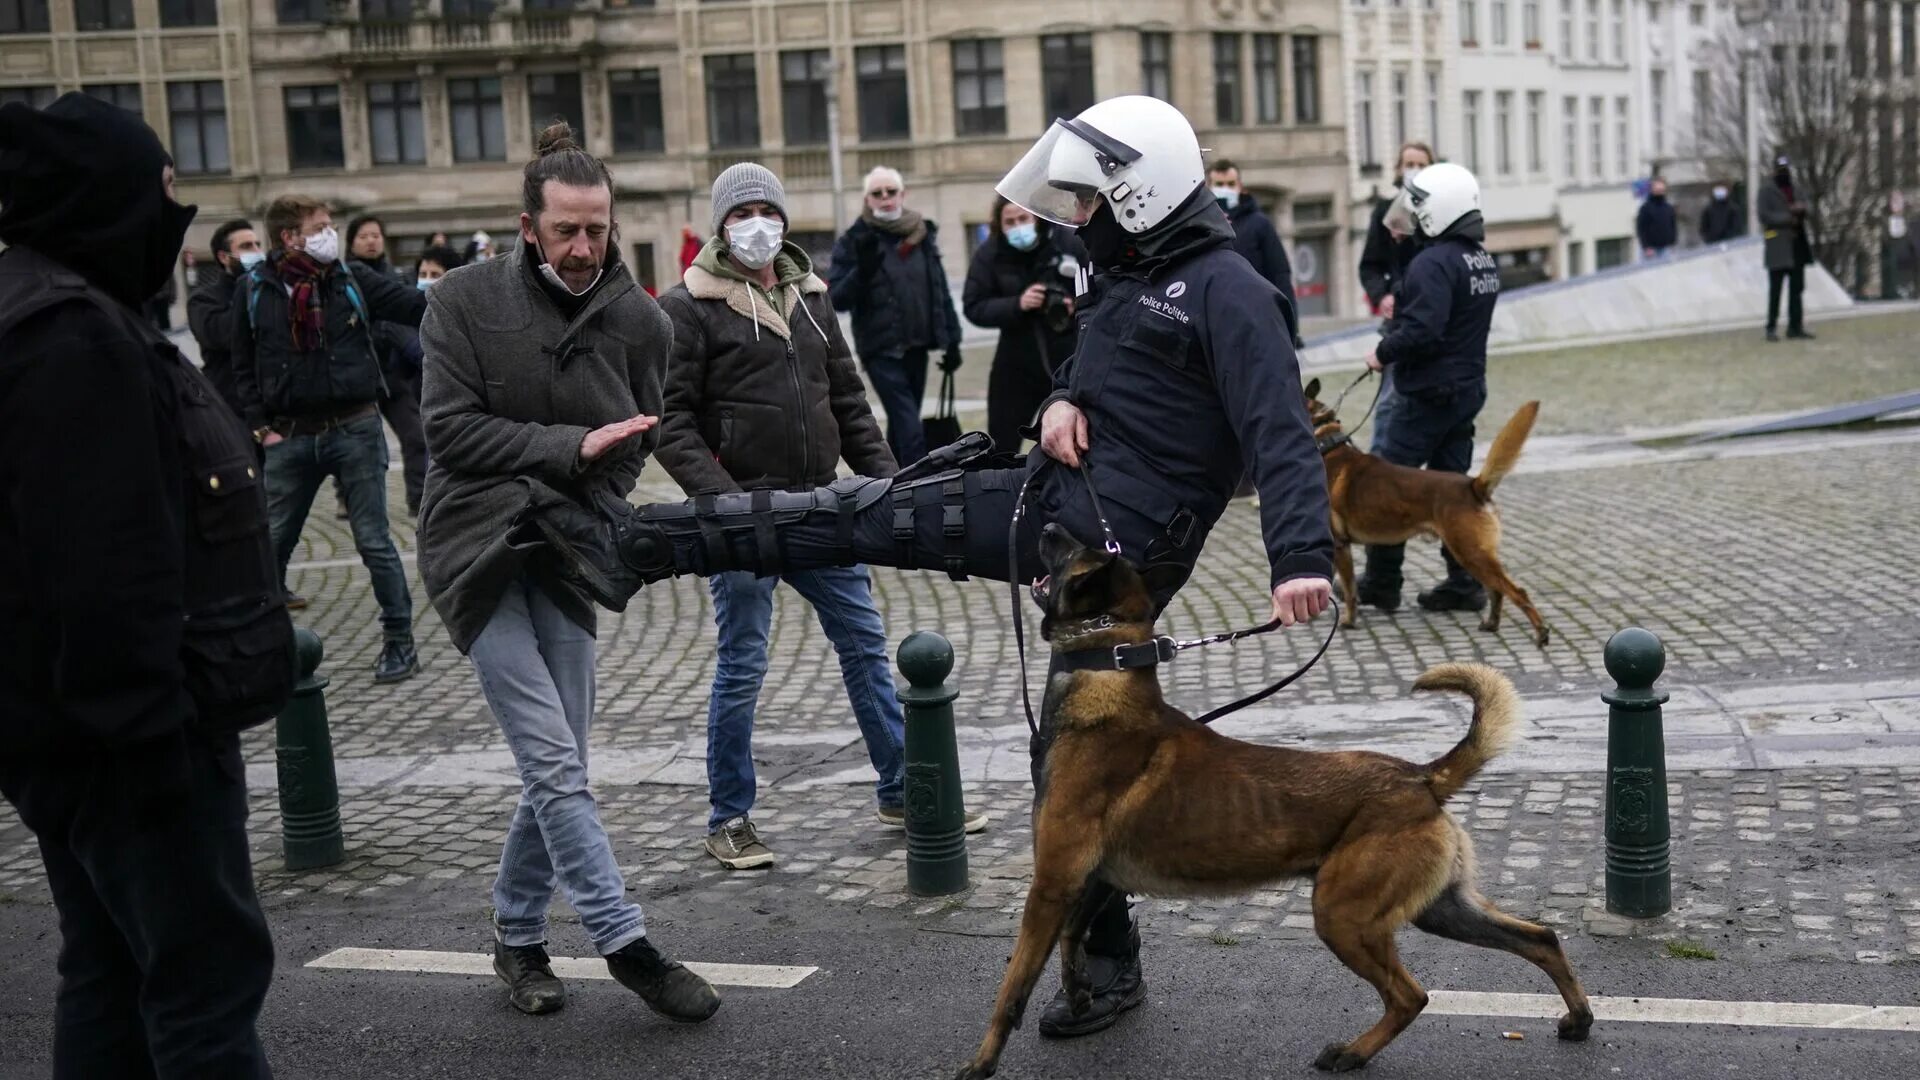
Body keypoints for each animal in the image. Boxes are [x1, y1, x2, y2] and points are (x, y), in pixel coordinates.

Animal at [952, 518, 1597, 1068]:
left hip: (1343, 916)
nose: (1046, 523)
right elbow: (1070, 942)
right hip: (1441, 908)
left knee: (1411, 995)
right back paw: (1578, 1020)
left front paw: (979, 1064)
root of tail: (1420, 776)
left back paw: (1352, 1054)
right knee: (1540, 938)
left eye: (1070, 551)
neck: (1105, 677)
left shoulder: (1051, 884)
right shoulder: (1091, 881)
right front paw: (1082, 994)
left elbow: (1012, 990)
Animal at [1297, 374, 1551, 641]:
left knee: (1516, 591)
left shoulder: (1339, 545)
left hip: (1470, 552)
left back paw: (1541, 632)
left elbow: (1349, 590)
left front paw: (1347, 620)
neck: (1326, 442)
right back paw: (1491, 624)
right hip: (1471, 554)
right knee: (1497, 590)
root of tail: (1474, 485)